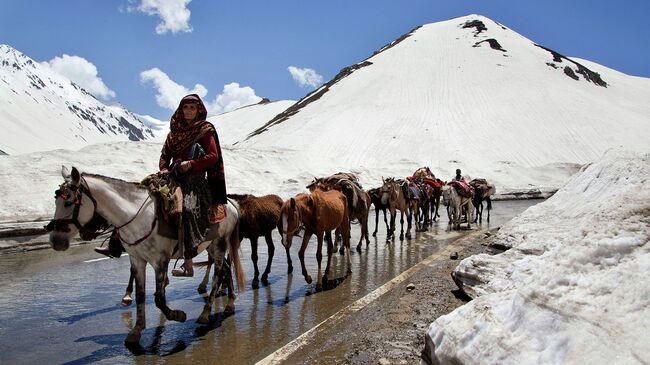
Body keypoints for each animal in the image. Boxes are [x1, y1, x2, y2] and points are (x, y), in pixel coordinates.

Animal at [45, 166, 243, 342]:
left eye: (69, 202)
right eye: (56, 201)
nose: (55, 241)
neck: (137, 217)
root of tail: (232, 205)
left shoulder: (160, 261)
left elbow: (159, 299)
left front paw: (178, 315)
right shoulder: (137, 259)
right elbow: (141, 295)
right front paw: (136, 330)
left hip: (220, 244)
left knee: (218, 273)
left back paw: (205, 312)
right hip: (209, 246)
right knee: (226, 268)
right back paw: (230, 304)